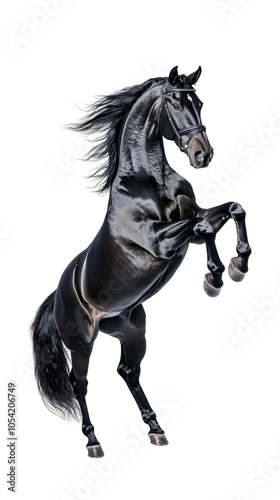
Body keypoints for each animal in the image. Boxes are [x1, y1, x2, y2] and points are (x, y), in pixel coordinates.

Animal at [32, 66, 252, 458]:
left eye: (198, 102)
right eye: (175, 102)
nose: (203, 155)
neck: (150, 181)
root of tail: (56, 296)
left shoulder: (194, 218)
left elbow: (232, 209)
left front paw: (238, 264)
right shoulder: (159, 241)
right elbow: (205, 228)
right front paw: (215, 278)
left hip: (132, 331)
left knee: (128, 372)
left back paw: (156, 429)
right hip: (82, 342)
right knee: (79, 383)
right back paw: (93, 442)